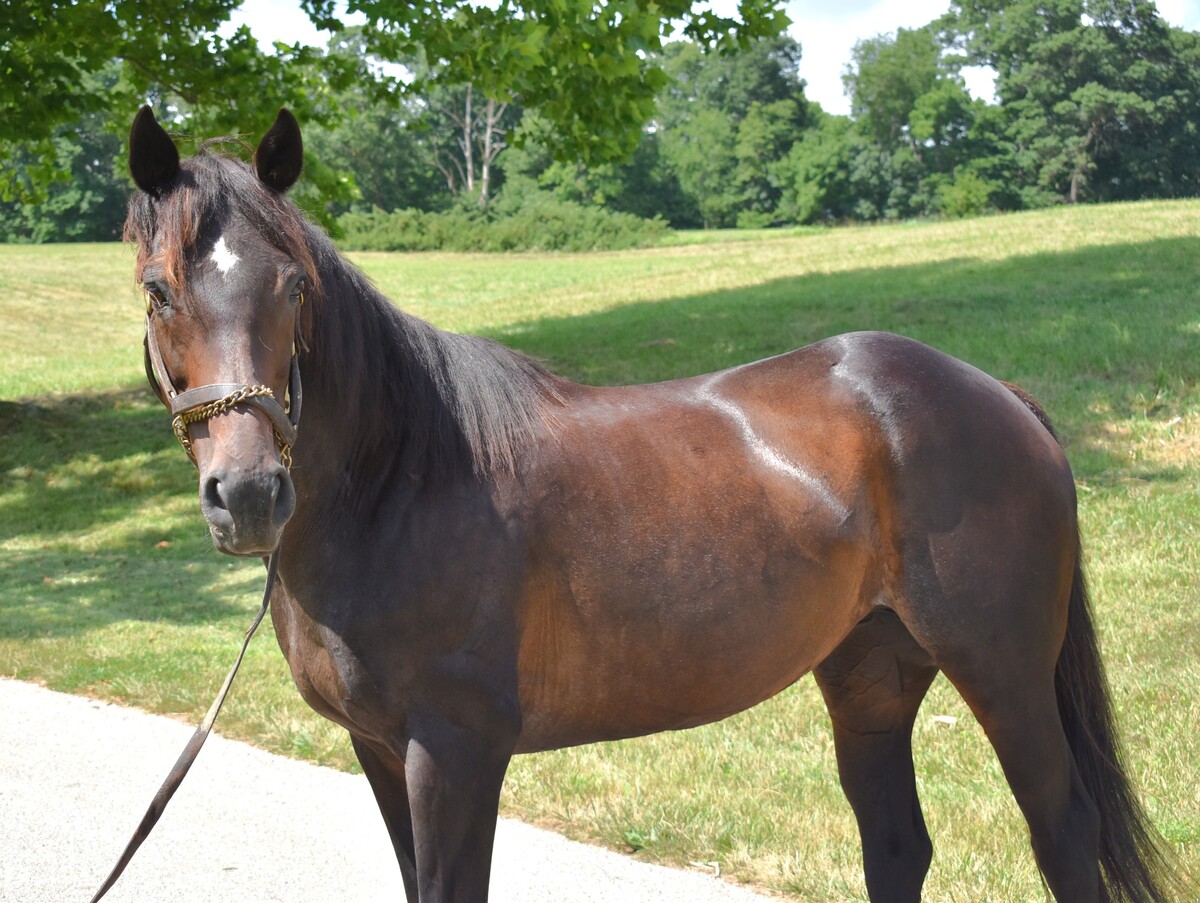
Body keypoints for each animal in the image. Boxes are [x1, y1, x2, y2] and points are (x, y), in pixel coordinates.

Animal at [122, 106, 1180, 903]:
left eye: (295, 286)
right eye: (158, 292)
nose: (249, 494)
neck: (399, 488)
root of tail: (994, 393)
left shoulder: (453, 754)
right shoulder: (380, 751)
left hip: (1003, 671)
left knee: (1062, 834)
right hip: (872, 673)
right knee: (896, 844)